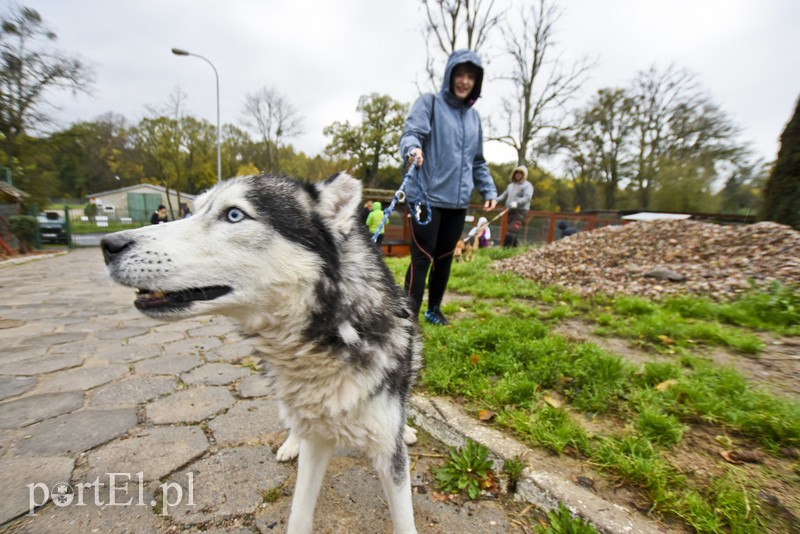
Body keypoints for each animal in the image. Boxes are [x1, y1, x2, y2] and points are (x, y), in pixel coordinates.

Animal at [103, 174, 422, 532]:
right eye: (194, 211)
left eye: (234, 215)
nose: (108, 245)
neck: (334, 335)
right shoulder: (317, 441)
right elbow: (299, 513)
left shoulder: (388, 454)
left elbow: (403, 518)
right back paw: (292, 442)